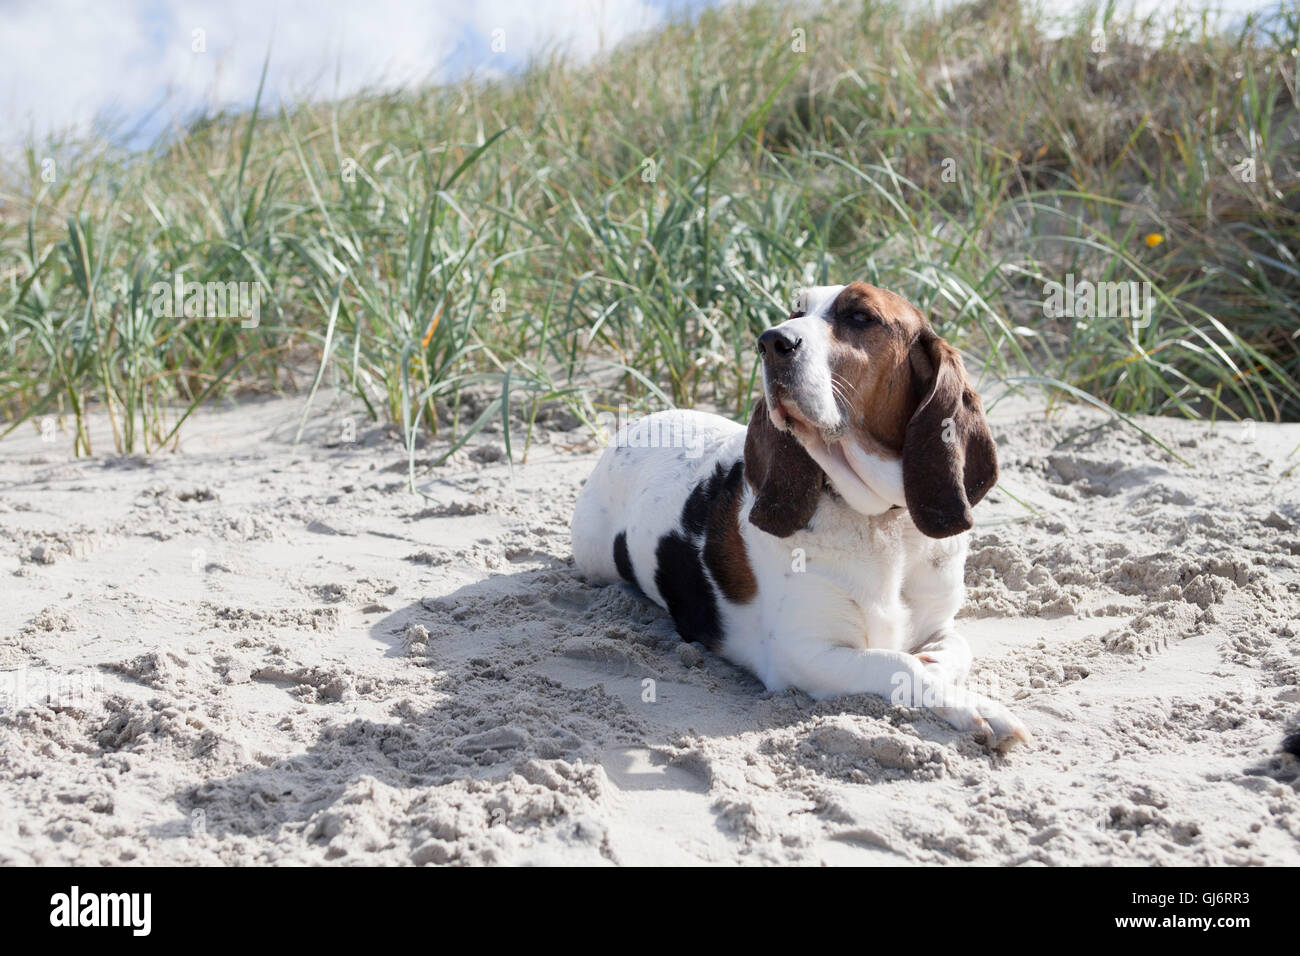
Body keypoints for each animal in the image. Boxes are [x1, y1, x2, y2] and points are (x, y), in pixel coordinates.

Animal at [574, 280, 1029, 749]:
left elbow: (951, 651)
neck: (880, 521)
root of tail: (632, 427)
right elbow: (899, 665)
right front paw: (978, 709)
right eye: (796, 312)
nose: (771, 341)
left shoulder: (941, 626)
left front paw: (943, 674)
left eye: (861, 317)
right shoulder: (805, 655)